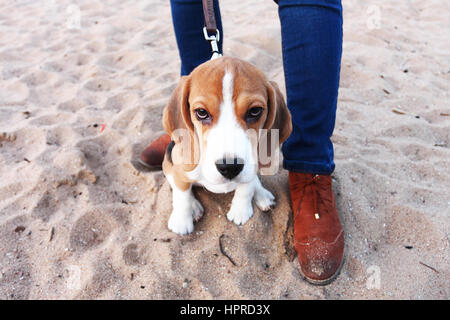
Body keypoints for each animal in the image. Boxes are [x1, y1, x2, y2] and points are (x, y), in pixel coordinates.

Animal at [162, 56, 292, 234]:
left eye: (255, 111)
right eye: (201, 112)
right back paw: (194, 207)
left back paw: (262, 195)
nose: (230, 167)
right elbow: (181, 193)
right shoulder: (179, 167)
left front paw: (241, 210)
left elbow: (246, 188)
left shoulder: (251, 166)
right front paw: (182, 220)